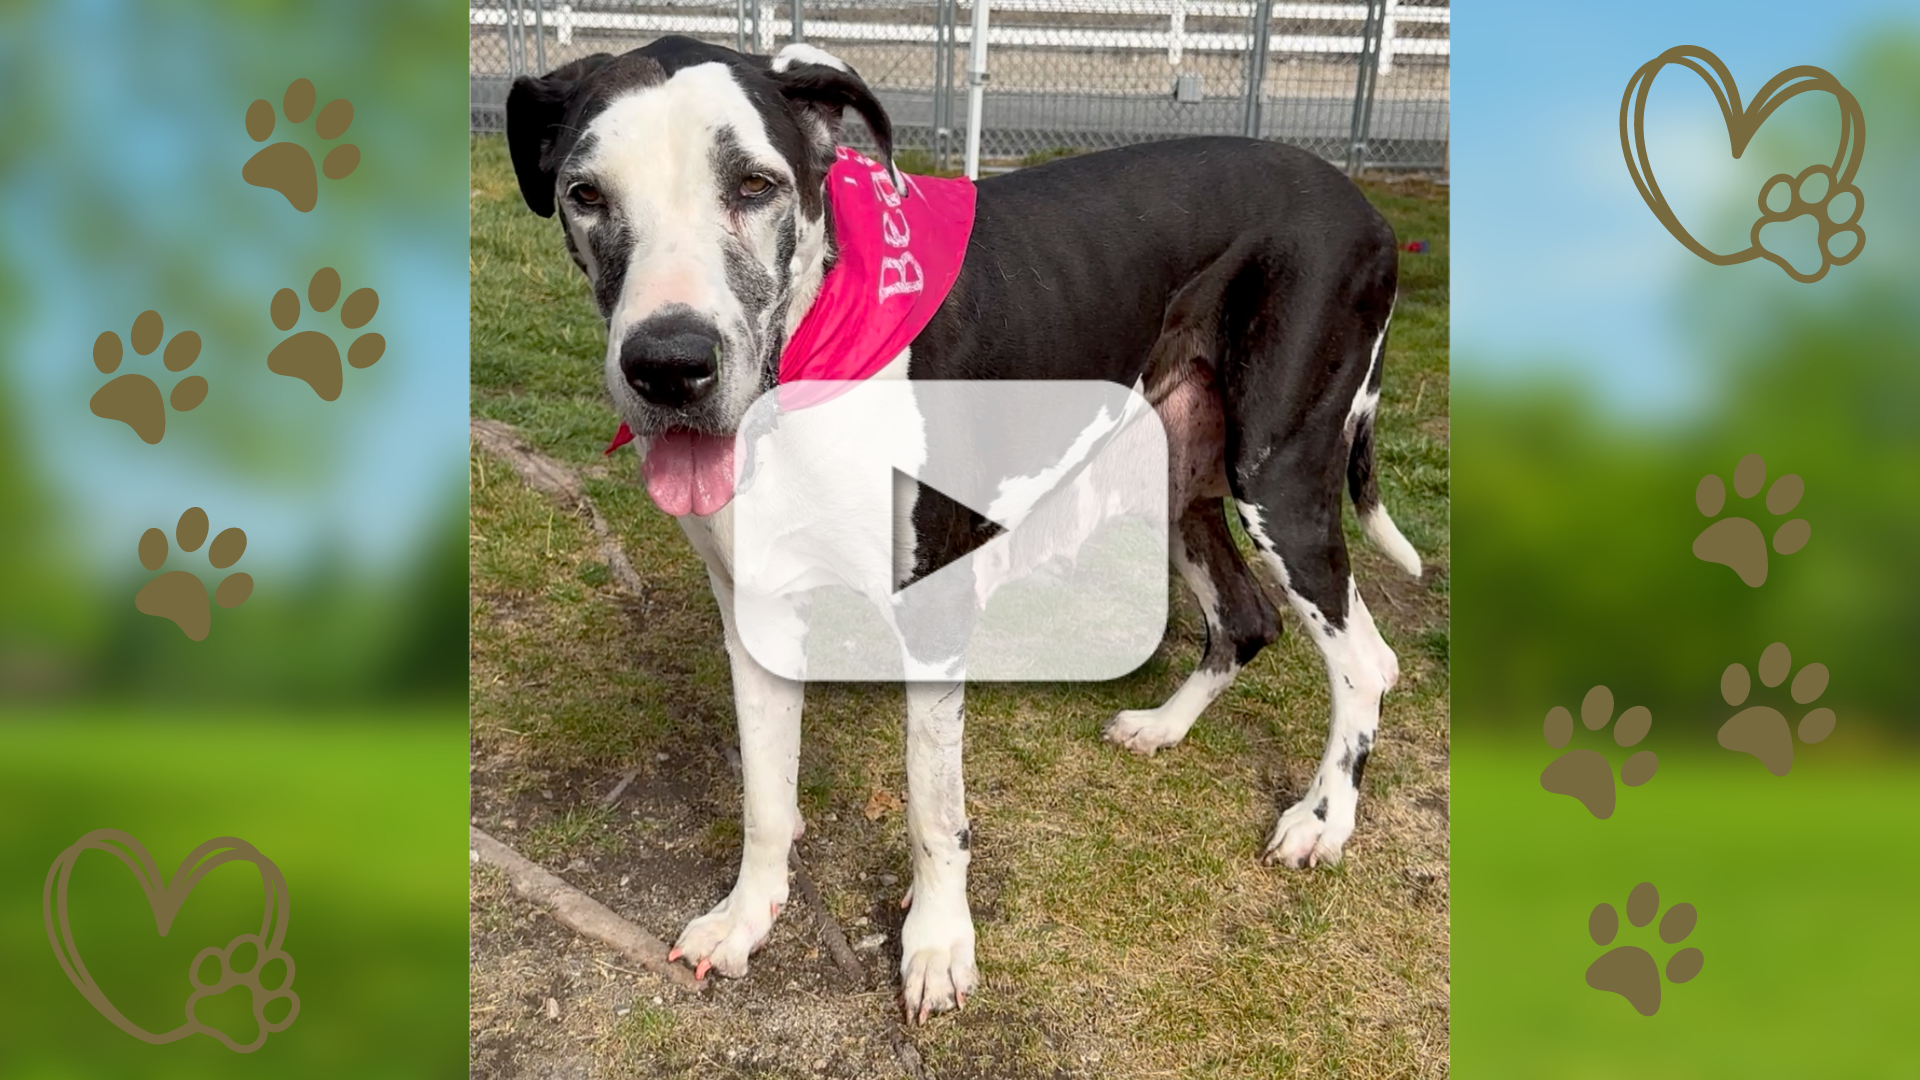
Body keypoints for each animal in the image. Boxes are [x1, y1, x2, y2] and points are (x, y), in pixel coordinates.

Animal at [503, 35, 1420, 1014]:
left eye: (755, 184)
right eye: (585, 194)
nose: (669, 367)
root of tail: (1360, 202)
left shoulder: (935, 613)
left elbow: (932, 808)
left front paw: (939, 945)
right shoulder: (755, 611)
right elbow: (764, 796)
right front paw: (747, 915)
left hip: (1276, 479)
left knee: (1365, 659)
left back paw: (1324, 820)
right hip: (1178, 469)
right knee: (1248, 619)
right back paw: (1166, 727)